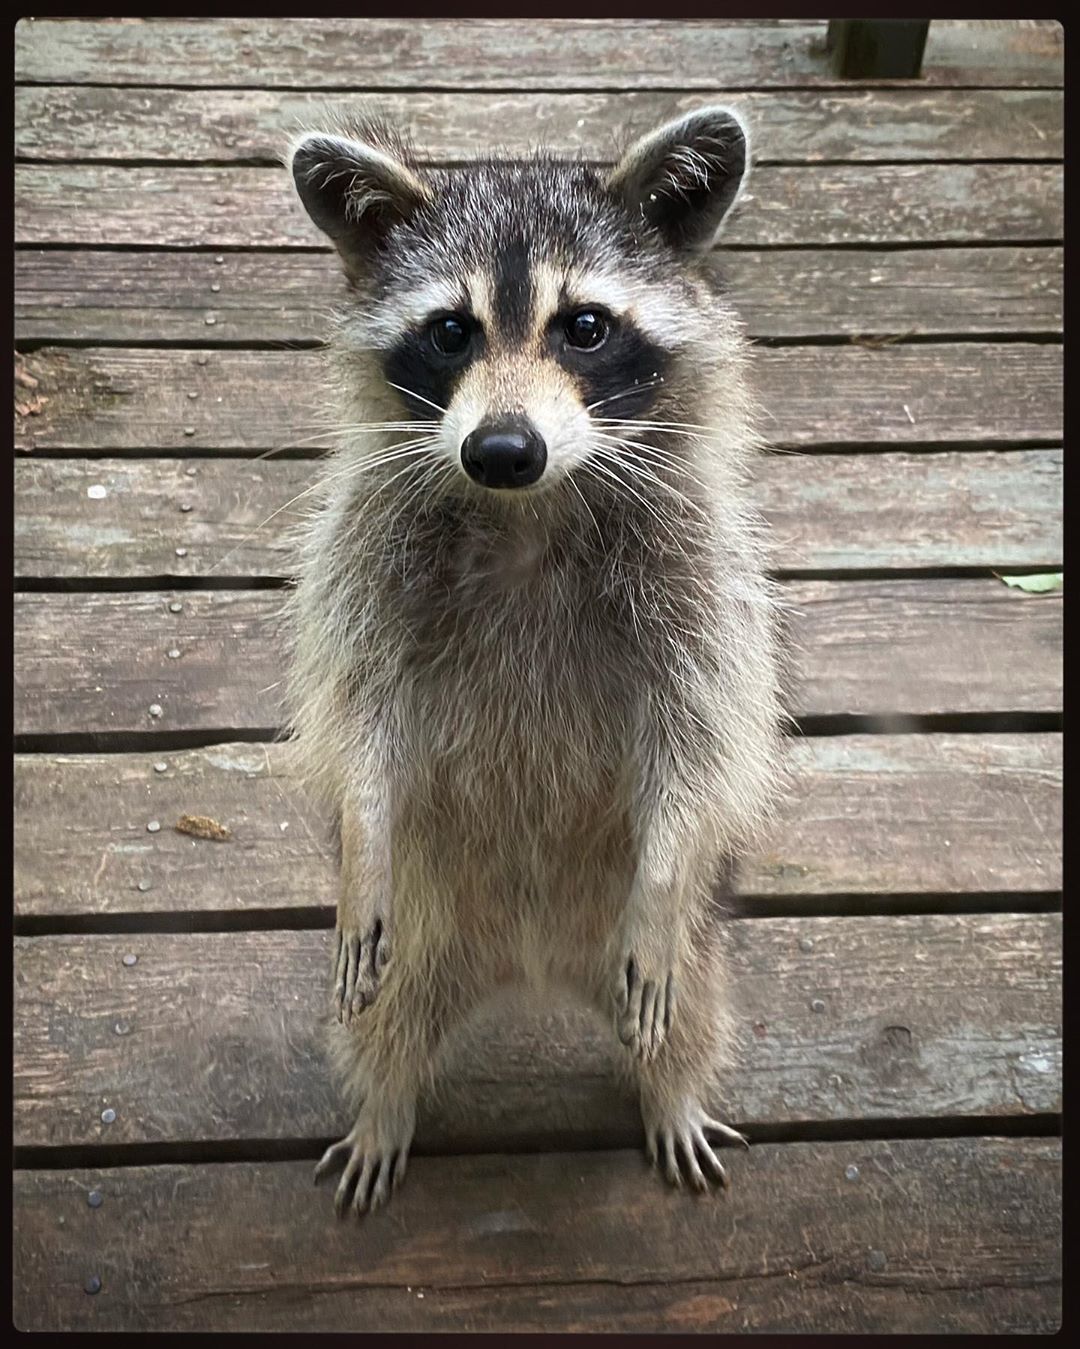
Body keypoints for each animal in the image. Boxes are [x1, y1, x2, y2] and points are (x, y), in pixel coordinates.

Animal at [281, 105, 782, 1219]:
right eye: (451, 332)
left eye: (583, 327)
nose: (503, 448)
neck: (526, 507)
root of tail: (532, 964)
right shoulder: (367, 555)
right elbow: (360, 712)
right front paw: (363, 830)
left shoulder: (697, 577)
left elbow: (698, 735)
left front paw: (669, 852)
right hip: (425, 934)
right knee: (381, 1021)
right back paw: (383, 1102)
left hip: (682, 951)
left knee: (690, 1011)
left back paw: (672, 1089)